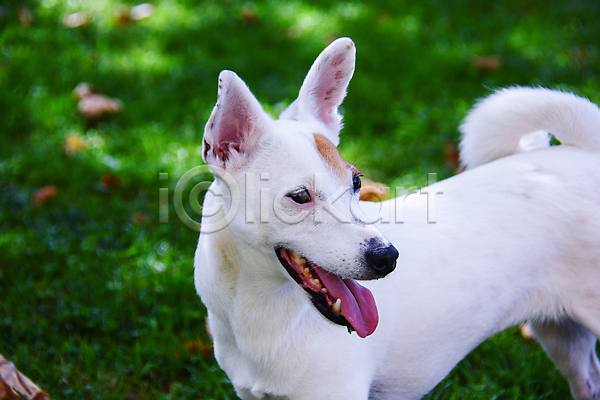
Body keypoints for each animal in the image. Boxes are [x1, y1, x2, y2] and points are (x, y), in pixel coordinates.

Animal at [195, 38, 596, 400]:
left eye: (356, 182)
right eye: (300, 196)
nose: (387, 257)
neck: (258, 309)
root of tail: (584, 152)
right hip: (563, 336)